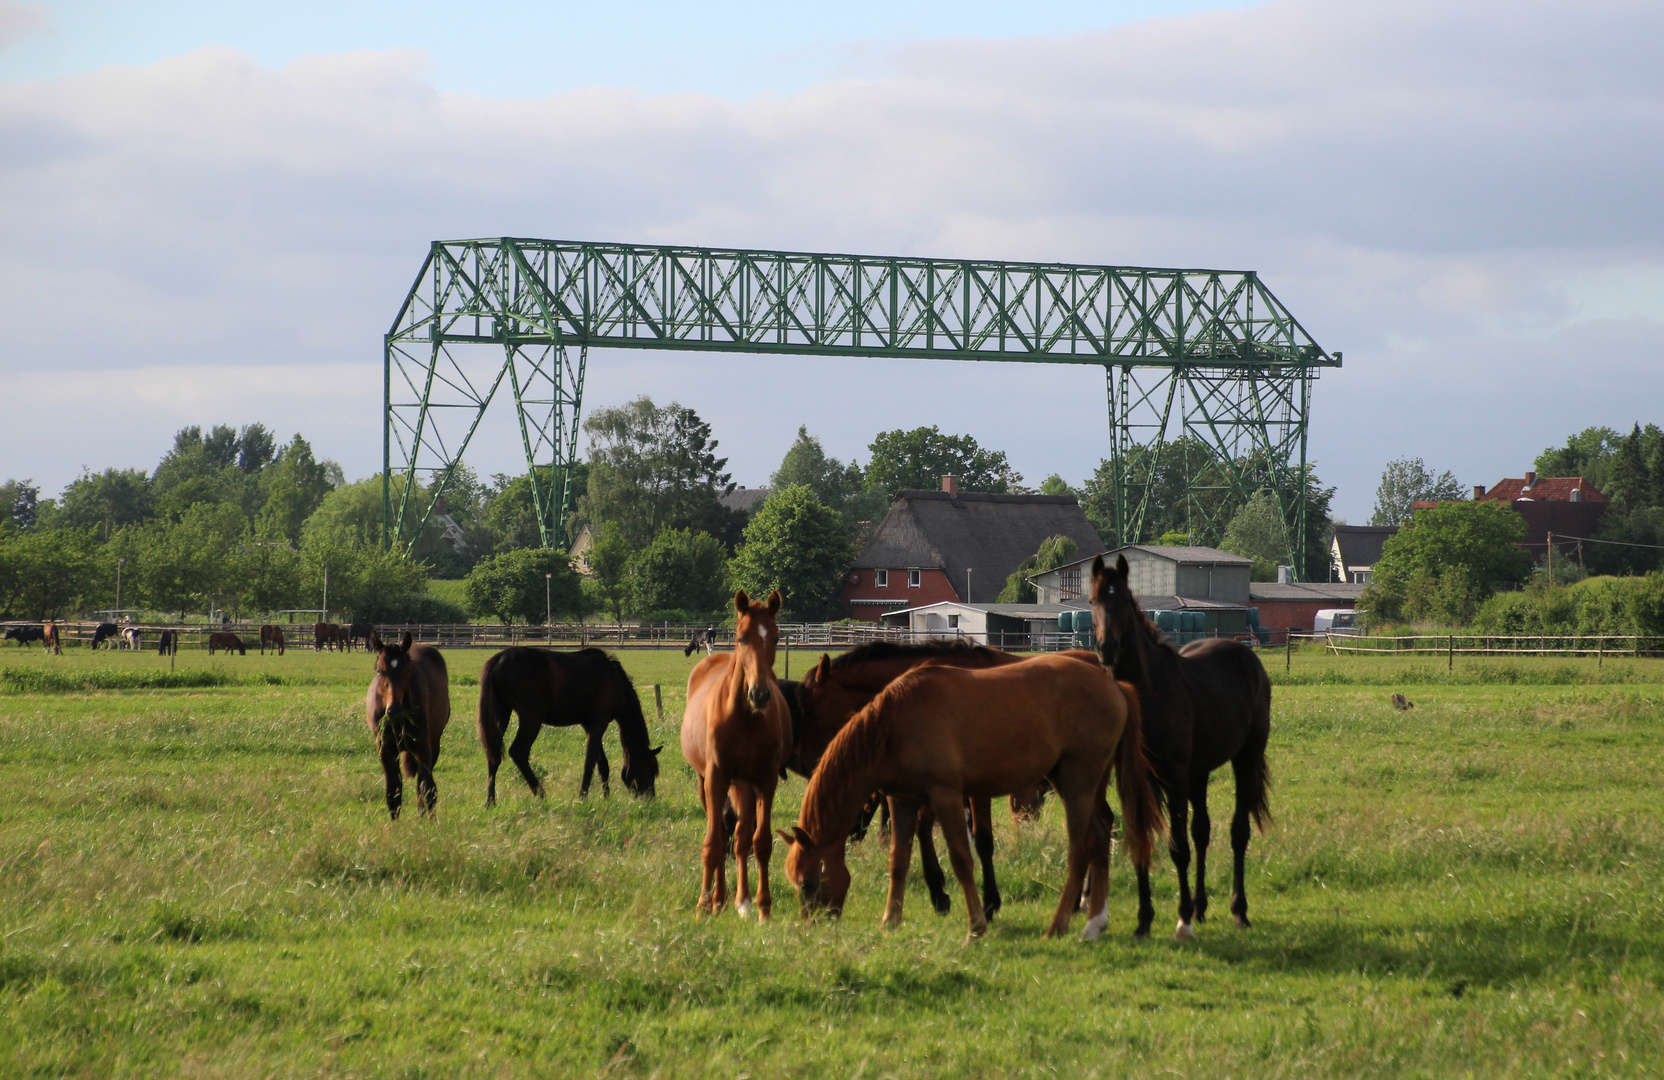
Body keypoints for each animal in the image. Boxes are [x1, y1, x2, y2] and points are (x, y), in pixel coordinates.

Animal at [366, 622, 452, 818]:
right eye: (380, 670)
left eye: (407, 670)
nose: (395, 711)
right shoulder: (385, 749)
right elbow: (393, 792)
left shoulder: (422, 745)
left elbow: (428, 788)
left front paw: (429, 823)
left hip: (433, 744)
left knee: (422, 785)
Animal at [475, 645, 662, 805]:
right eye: (649, 769)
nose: (650, 799)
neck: (614, 680)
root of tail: (499, 659)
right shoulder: (599, 724)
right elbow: (590, 763)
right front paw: (583, 797)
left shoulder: (589, 726)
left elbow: (602, 764)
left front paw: (606, 797)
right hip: (531, 719)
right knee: (518, 752)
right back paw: (541, 794)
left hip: (501, 714)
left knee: (493, 755)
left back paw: (490, 801)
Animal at [778, 652, 1158, 938]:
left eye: (808, 883)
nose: (815, 924)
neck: (896, 722)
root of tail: (1113, 684)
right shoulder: (903, 800)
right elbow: (898, 859)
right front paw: (891, 921)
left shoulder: (946, 795)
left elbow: (962, 859)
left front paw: (976, 924)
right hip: (1079, 783)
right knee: (1100, 837)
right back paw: (1094, 923)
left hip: (1078, 781)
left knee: (1081, 849)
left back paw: (1058, 926)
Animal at [1091, 552, 1271, 938]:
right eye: (1093, 600)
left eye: (1124, 601)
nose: (1107, 650)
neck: (1148, 694)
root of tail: (1246, 654)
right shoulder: (1135, 782)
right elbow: (1142, 842)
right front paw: (1144, 921)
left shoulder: (1173, 780)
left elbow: (1177, 847)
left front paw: (1182, 919)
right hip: (1199, 773)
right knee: (1202, 831)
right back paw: (1202, 908)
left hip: (1245, 758)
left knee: (1238, 832)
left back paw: (1238, 911)